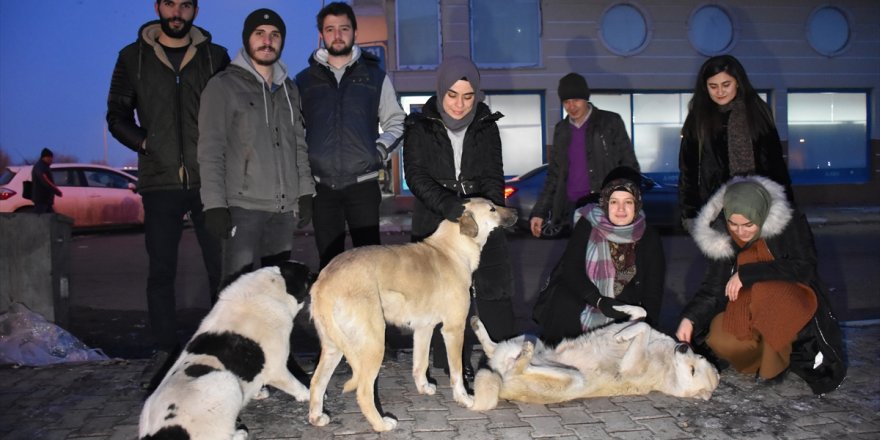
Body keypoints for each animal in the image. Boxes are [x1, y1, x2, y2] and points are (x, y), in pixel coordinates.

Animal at [138, 262, 316, 440]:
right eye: (307, 275)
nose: (317, 273)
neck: (266, 291)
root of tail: (158, 433)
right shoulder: (277, 368)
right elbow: (296, 385)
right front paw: (308, 395)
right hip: (226, 381)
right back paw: (240, 432)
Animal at [308, 198, 520, 432]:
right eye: (492, 209)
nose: (516, 212)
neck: (452, 250)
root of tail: (323, 281)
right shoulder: (453, 329)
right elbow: (456, 373)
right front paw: (464, 398)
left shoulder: (423, 328)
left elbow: (420, 363)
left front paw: (424, 387)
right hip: (374, 343)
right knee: (363, 391)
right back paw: (382, 424)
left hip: (334, 346)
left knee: (316, 381)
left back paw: (317, 417)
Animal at [470, 304, 720, 410]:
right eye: (697, 362)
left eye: (692, 371)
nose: (684, 347)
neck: (669, 363)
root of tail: (500, 383)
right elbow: (642, 315)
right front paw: (618, 307)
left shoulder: (630, 365)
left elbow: (644, 326)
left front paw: (622, 336)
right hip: (532, 337)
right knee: (493, 348)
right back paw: (477, 325)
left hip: (573, 378)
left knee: (519, 367)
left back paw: (525, 356)